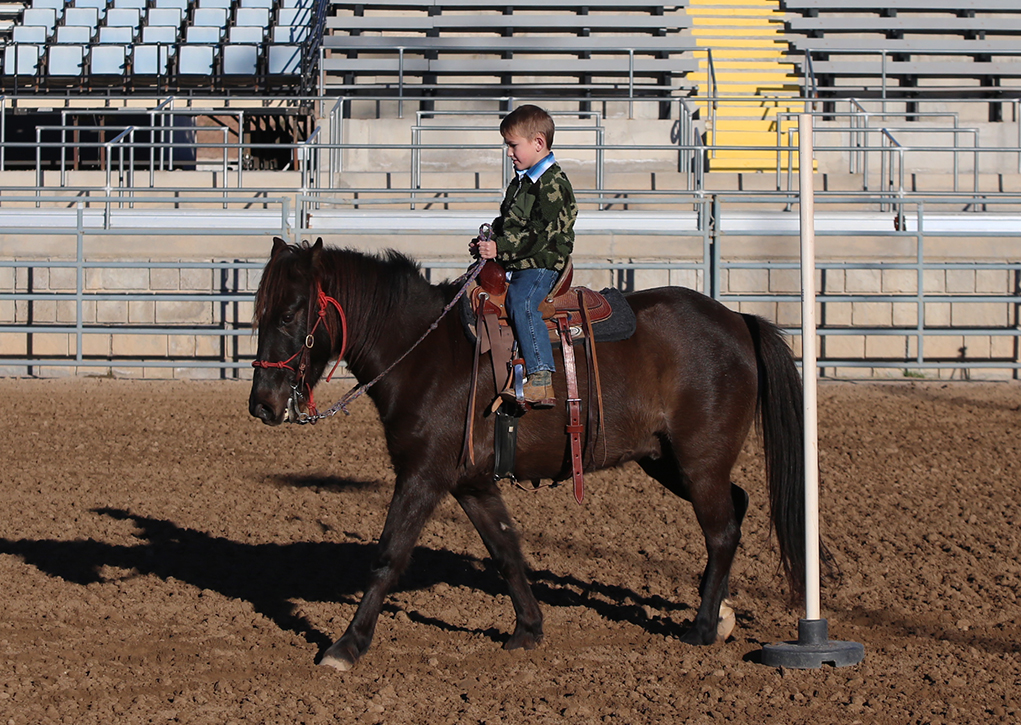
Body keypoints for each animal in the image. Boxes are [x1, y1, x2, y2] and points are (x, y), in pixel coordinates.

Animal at [247, 240, 804, 673]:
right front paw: (528, 629)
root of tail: (737, 320)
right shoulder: (470, 482)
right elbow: (506, 550)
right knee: (737, 506)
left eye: (292, 312)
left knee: (721, 530)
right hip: (668, 461)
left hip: (699, 462)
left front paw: (345, 646)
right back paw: (724, 615)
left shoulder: (422, 476)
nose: (262, 404)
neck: (424, 354)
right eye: (258, 314)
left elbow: (388, 557)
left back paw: (703, 627)